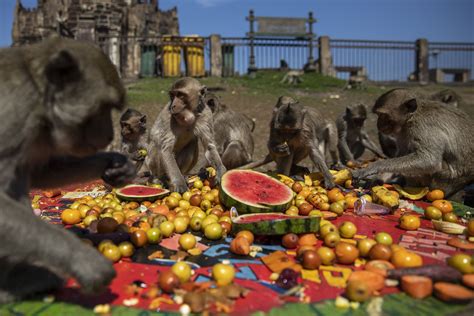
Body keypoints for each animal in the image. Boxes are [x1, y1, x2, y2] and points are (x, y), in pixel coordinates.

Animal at [0, 37, 135, 304]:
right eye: (103, 107)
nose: (109, 135)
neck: (39, 96)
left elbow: (43, 170)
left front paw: (115, 163)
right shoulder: (14, 114)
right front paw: (84, 261)